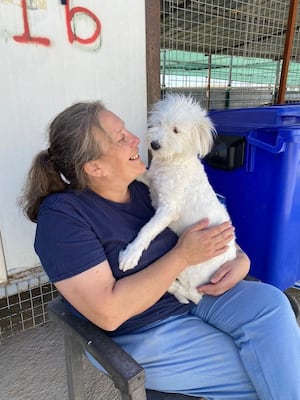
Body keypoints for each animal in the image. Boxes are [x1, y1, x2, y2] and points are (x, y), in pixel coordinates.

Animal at [119, 94, 237, 304]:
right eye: (159, 123)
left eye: (176, 130)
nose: (154, 145)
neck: (173, 161)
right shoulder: (151, 179)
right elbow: (137, 174)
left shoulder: (168, 209)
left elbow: (147, 230)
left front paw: (130, 254)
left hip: (190, 268)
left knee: (191, 292)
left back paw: (174, 287)